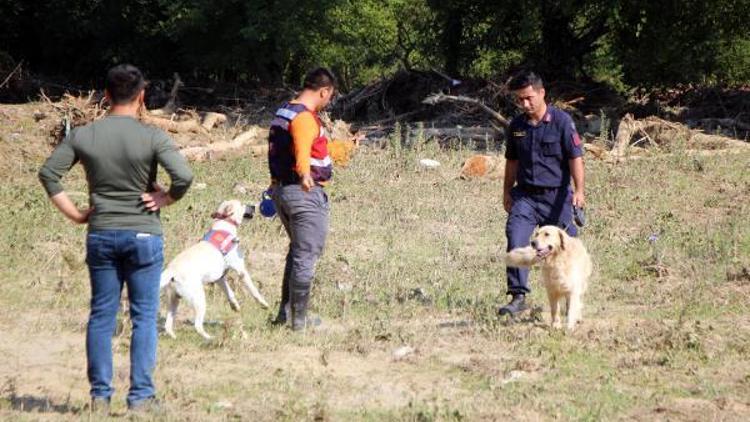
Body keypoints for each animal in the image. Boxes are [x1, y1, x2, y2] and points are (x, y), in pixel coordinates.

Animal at [160, 199, 272, 340]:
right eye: (241, 204)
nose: (253, 206)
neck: (224, 224)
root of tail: (171, 271)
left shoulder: (220, 278)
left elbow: (230, 293)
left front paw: (234, 305)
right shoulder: (241, 270)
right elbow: (254, 291)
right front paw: (264, 304)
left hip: (174, 301)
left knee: (168, 326)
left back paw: (175, 337)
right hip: (199, 299)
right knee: (197, 326)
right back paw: (210, 338)